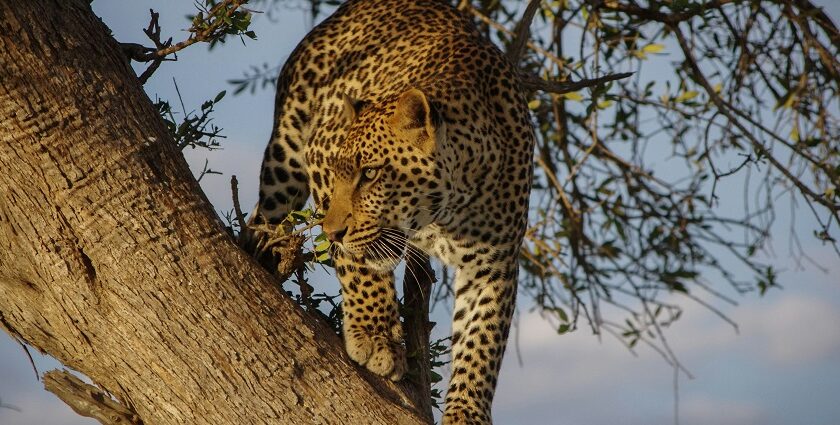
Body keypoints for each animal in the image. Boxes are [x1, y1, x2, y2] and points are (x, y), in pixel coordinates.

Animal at [253, 0, 536, 420]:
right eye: (339, 173)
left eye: (370, 174)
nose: (331, 231)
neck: (446, 211)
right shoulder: (319, 154)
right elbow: (358, 266)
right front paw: (375, 337)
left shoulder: (494, 263)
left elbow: (482, 339)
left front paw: (466, 412)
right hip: (285, 159)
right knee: (262, 218)